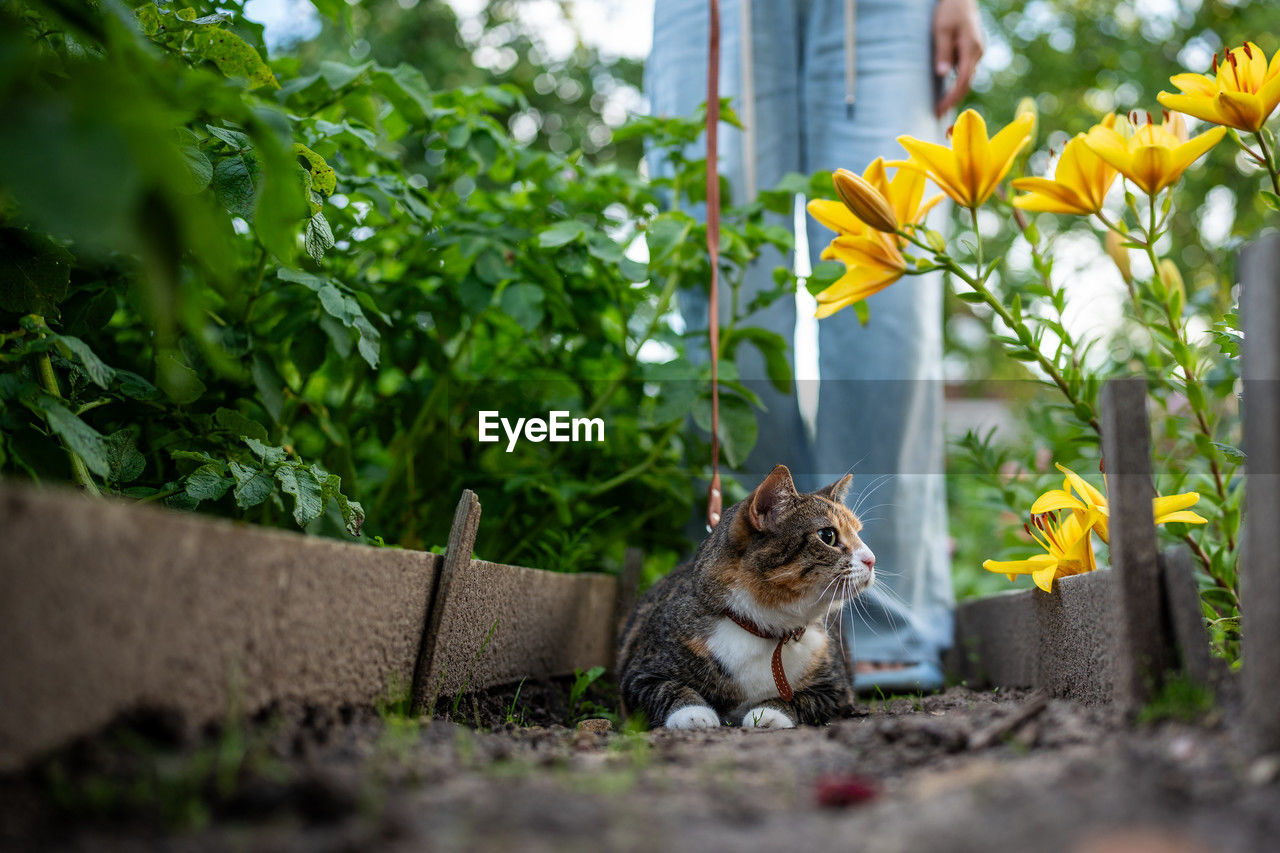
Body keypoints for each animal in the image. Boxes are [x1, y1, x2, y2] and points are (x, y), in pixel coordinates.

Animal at [614, 461, 875, 727]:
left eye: (858, 533)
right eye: (827, 536)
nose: (872, 559)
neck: (765, 629)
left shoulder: (837, 689)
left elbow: (803, 698)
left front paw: (770, 713)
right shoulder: (638, 674)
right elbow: (666, 688)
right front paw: (693, 714)